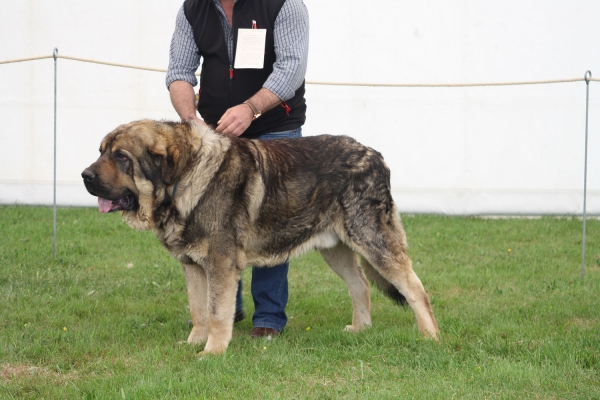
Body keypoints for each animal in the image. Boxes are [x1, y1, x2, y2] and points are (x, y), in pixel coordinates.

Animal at [82, 119, 438, 354]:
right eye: (100, 152)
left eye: (121, 157)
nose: (85, 175)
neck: (184, 180)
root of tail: (375, 156)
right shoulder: (193, 266)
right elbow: (199, 310)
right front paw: (194, 343)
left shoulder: (221, 265)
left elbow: (217, 312)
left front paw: (212, 352)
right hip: (335, 248)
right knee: (360, 284)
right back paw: (361, 329)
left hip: (373, 240)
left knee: (415, 289)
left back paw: (429, 337)